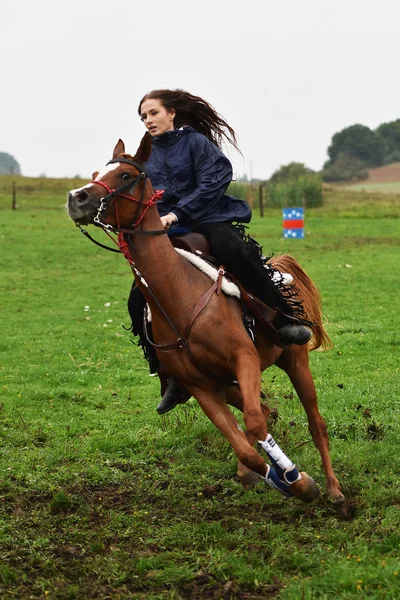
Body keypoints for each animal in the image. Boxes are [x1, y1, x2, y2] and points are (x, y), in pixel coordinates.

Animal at [67, 135, 342, 502]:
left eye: (126, 175)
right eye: (96, 174)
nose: (76, 198)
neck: (180, 294)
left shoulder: (245, 360)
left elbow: (255, 424)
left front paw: (298, 481)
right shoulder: (201, 386)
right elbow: (246, 448)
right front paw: (275, 476)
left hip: (295, 361)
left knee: (315, 423)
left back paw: (334, 488)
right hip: (227, 382)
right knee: (262, 415)